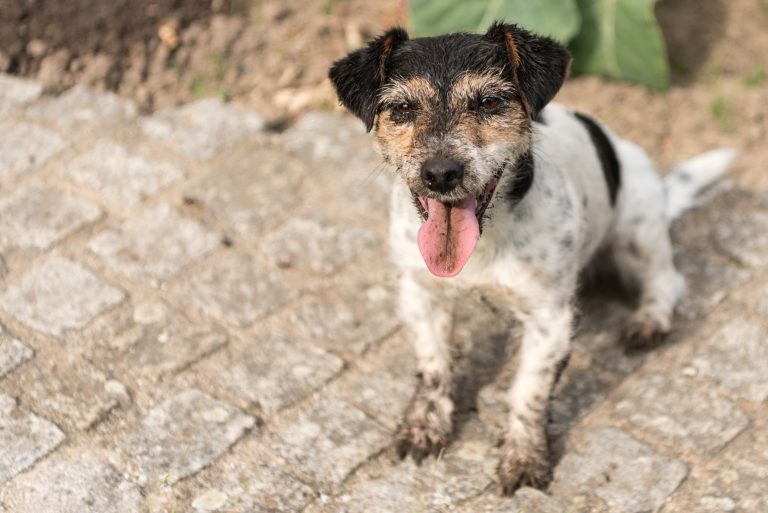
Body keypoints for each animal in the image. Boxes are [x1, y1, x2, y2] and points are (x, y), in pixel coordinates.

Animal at [328, 23, 736, 492]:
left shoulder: (550, 318)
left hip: (636, 230)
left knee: (667, 280)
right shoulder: (420, 293)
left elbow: (528, 391)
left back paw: (649, 320)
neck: (484, 241)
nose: (441, 173)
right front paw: (426, 426)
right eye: (402, 107)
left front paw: (524, 457)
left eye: (489, 102)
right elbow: (433, 367)